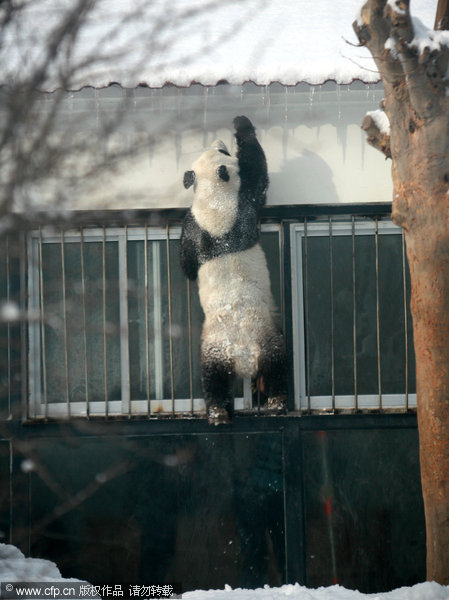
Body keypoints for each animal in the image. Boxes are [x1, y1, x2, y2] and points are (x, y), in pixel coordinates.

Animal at [179, 116, 288, 426]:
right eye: (224, 152)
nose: (219, 142)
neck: (214, 199)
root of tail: (243, 356)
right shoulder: (237, 204)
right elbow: (257, 171)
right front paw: (242, 123)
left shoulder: (214, 218)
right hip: (231, 342)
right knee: (274, 367)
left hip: (238, 342)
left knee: (216, 378)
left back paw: (223, 411)